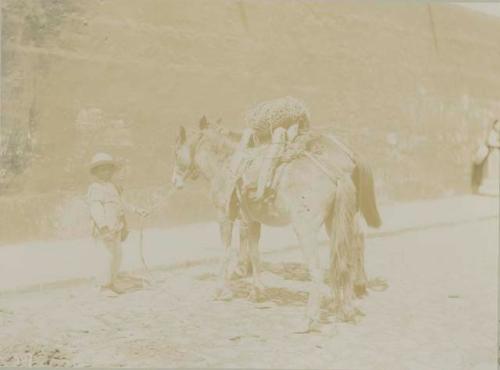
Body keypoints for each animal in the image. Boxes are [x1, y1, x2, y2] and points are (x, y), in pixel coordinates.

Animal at [170, 117, 380, 330]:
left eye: (176, 151)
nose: (174, 181)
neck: (227, 164)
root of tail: (337, 172)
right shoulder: (252, 221)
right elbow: (255, 253)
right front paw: (257, 291)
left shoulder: (225, 218)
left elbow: (227, 252)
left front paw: (222, 289)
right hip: (337, 222)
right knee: (346, 257)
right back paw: (347, 306)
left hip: (305, 230)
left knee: (319, 269)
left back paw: (310, 317)